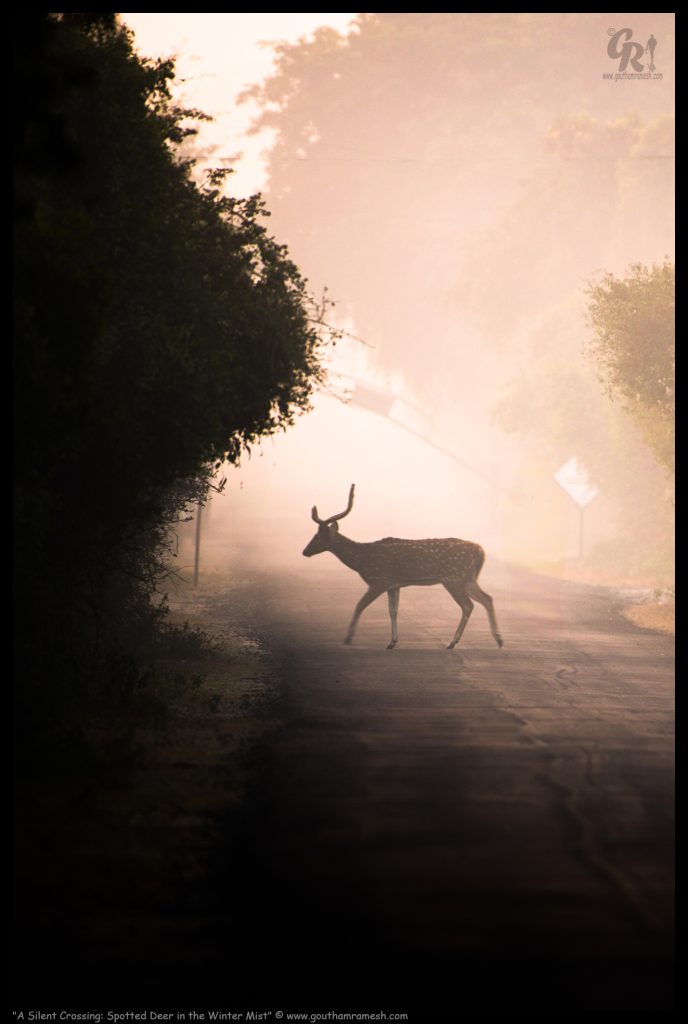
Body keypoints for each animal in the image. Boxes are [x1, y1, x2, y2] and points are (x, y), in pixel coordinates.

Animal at [302, 484, 503, 650]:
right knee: (487, 598)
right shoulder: (394, 585)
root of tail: (480, 551)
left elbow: (360, 605)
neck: (361, 560)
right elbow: (393, 611)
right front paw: (392, 642)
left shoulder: (378, 580)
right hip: (467, 578)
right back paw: (498, 639)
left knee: (468, 605)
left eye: (318, 537)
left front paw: (347, 638)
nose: (305, 551)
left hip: (454, 578)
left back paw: (453, 642)